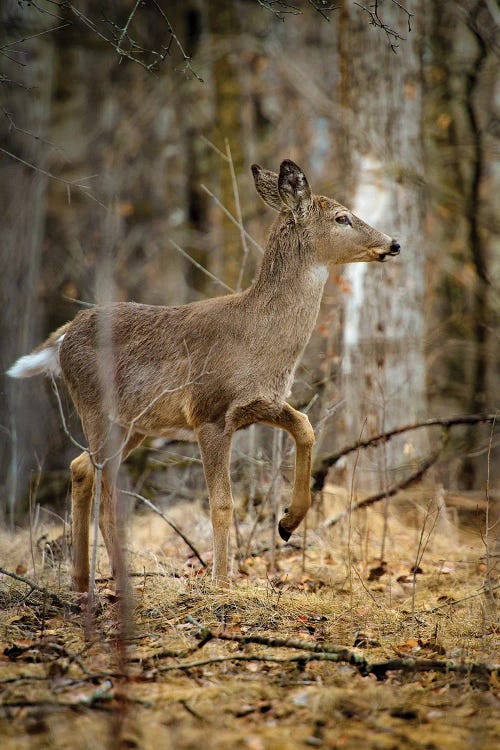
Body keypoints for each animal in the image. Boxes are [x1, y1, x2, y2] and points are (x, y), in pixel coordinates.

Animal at [5, 160, 400, 592]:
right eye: (342, 217)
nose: (394, 243)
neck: (258, 338)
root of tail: (62, 337)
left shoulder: (260, 403)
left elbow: (306, 426)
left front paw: (287, 522)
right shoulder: (208, 413)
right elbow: (222, 504)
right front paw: (222, 582)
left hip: (134, 425)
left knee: (80, 470)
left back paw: (80, 581)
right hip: (95, 409)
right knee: (106, 500)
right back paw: (119, 586)